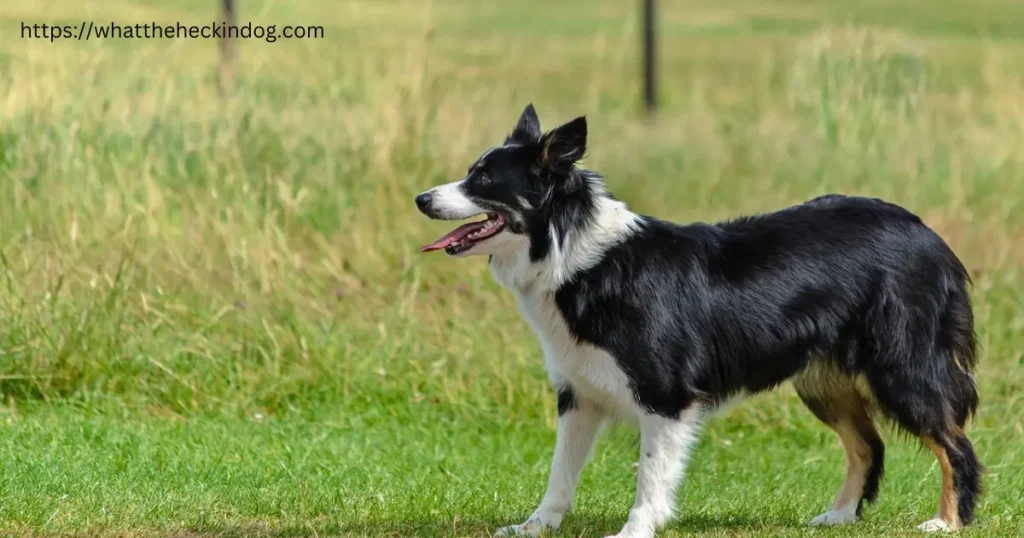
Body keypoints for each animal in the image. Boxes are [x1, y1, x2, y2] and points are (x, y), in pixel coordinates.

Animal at [415, 105, 983, 536]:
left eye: (484, 179)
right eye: (471, 171)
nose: (421, 198)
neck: (572, 253)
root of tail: (926, 232)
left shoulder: (664, 396)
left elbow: (650, 476)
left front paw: (635, 531)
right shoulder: (578, 393)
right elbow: (559, 475)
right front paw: (535, 526)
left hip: (901, 368)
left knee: (955, 443)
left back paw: (947, 522)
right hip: (822, 380)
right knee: (868, 445)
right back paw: (838, 517)